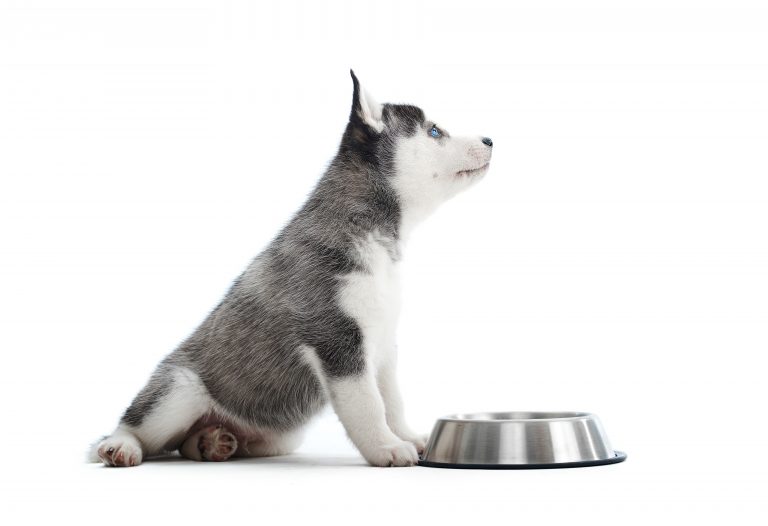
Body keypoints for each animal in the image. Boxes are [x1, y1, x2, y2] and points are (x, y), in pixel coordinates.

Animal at [90, 71, 496, 470]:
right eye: (434, 131)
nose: (490, 139)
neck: (376, 239)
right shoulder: (336, 338)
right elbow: (368, 404)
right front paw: (386, 447)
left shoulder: (382, 345)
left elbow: (391, 399)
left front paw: (408, 436)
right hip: (176, 392)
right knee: (138, 428)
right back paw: (120, 446)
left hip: (278, 438)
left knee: (189, 445)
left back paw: (212, 442)